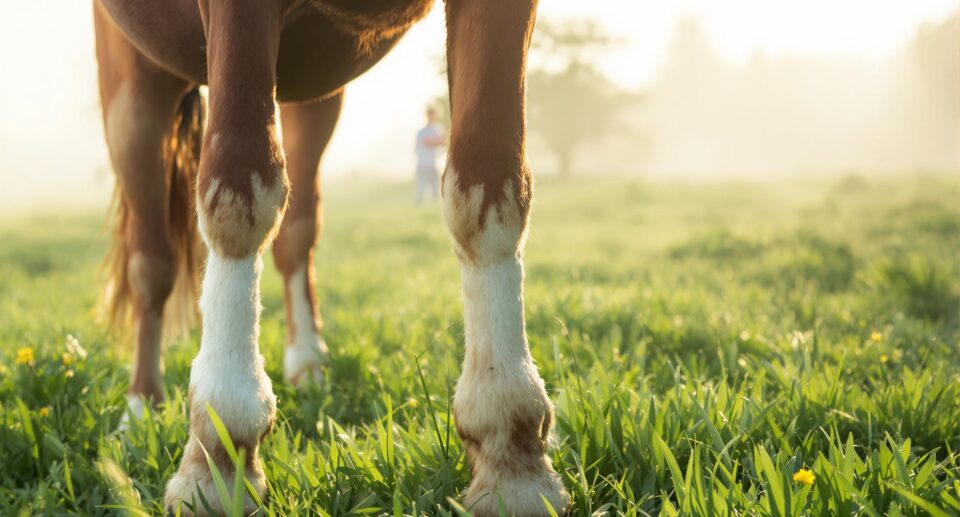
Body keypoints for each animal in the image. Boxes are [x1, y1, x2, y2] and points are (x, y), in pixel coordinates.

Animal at [94, 0, 568, 512]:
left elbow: (490, 193)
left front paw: (513, 459)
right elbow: (237, 194)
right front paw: (218, 456)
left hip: (311, 90)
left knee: (295, 232)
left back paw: (306, 359)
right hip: (133, 91)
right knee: (150, 262)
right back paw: (141, 405)